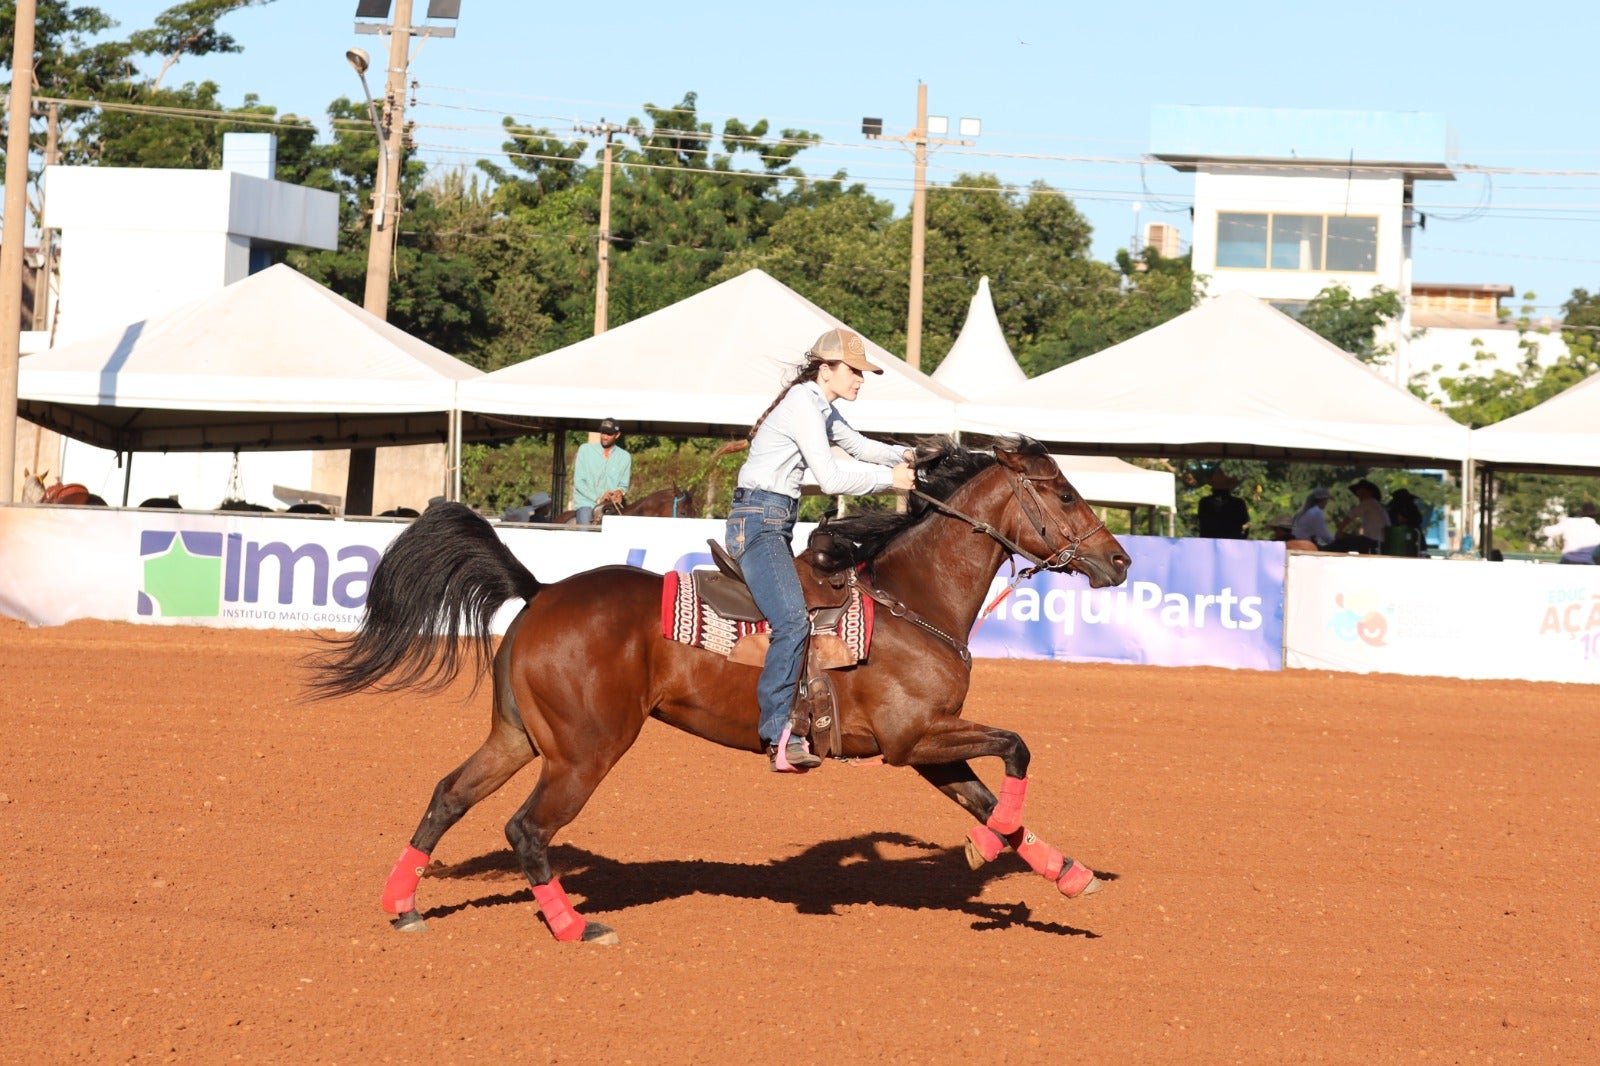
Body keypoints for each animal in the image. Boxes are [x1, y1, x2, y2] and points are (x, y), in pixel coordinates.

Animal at [307, 437, 1131, 944]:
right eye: (1062, 493)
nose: (1120, 561)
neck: (910, 599)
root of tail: (541, 592)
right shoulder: (910, 741)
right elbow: (1018, 750)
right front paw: (988, 851)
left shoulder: (930, 745)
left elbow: (996, 802)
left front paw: (1068, 874)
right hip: (584, 752)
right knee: (526, 830)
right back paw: (575, 927)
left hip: (517, 737)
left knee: (448, 795)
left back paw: (404, 906)